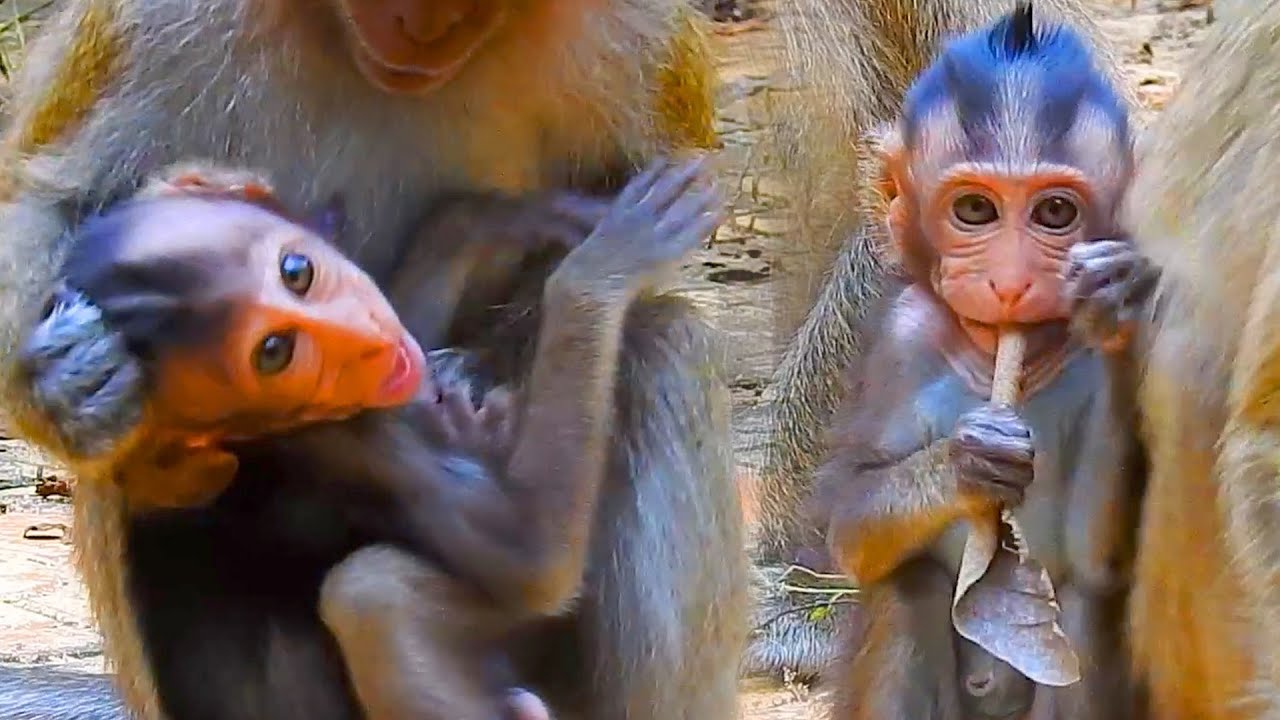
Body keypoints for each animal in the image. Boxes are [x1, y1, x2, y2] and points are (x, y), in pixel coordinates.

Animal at [0, 2, 747, 718]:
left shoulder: (637, 27)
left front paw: (481, 283)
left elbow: (623, 176)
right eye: (275, 351)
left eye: (298, 270)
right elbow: (55, 197)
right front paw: (63, 379)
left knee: (662, 343)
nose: (424, 27)